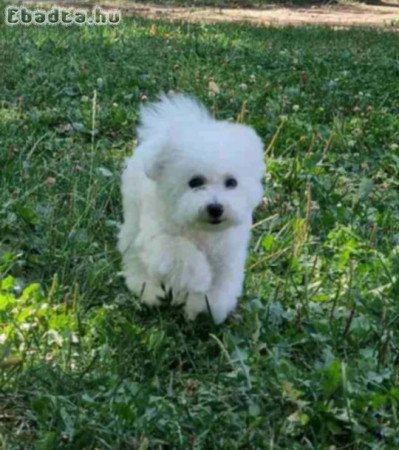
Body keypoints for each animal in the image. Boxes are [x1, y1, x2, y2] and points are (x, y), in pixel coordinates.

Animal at [118, 95, 266, 326]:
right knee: (133, 252)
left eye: (231, 182)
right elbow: (180, 251)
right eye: (195, 182)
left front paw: (204, 307)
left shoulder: (228, 254)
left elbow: (221, 285)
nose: (215, 208)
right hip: (133, 215)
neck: (203, 231)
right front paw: (199, 278)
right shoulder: (158, 238)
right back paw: (148, 289)